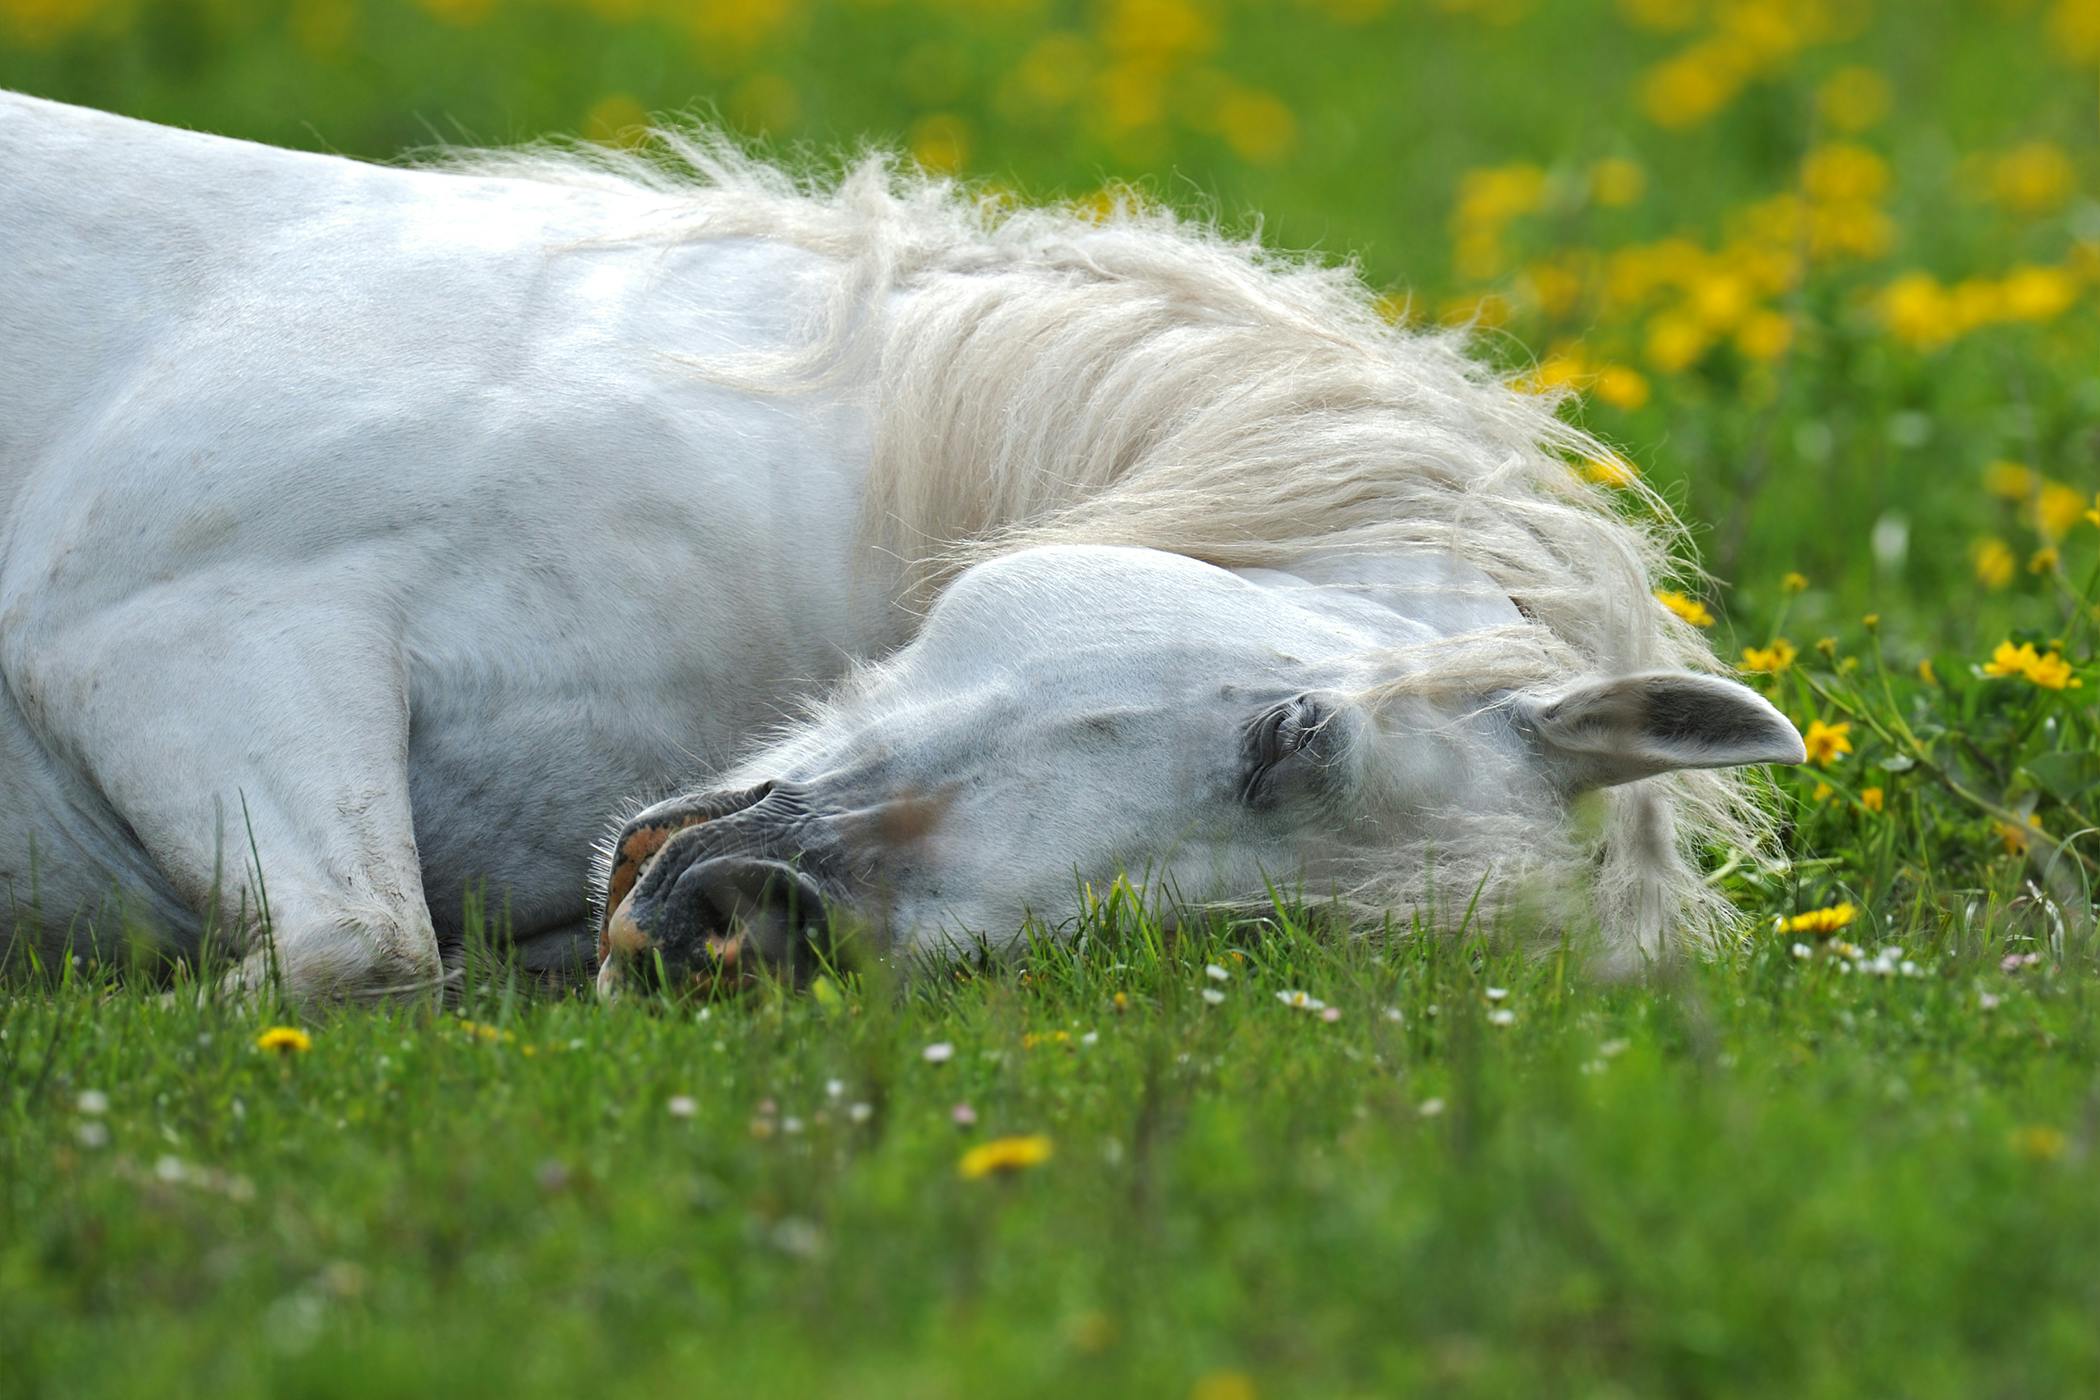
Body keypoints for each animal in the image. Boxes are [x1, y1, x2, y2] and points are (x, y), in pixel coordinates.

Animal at [0, 92, 1805, 1003]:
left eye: (1233, 940)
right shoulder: (190, 635)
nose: (747, 916)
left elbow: (380, 959)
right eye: (1283, 746)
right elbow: (361, 957)